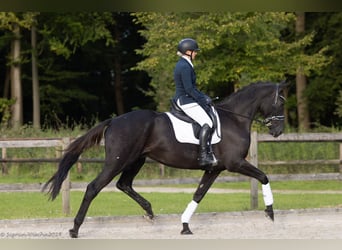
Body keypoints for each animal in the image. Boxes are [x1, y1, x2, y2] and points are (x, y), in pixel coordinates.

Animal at [44, 81, 288, 238]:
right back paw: (75, 229)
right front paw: (270, 212)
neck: (234, 119)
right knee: (94, 187)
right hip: (118, 161)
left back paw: (150, 212)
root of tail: (113, 121)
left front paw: (185, 226)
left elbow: (198, 195)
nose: (278, 131)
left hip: (136, 160)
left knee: (124, 184)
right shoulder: (235, 163)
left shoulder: (214, 169)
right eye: (281, 103)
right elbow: (264, 176)